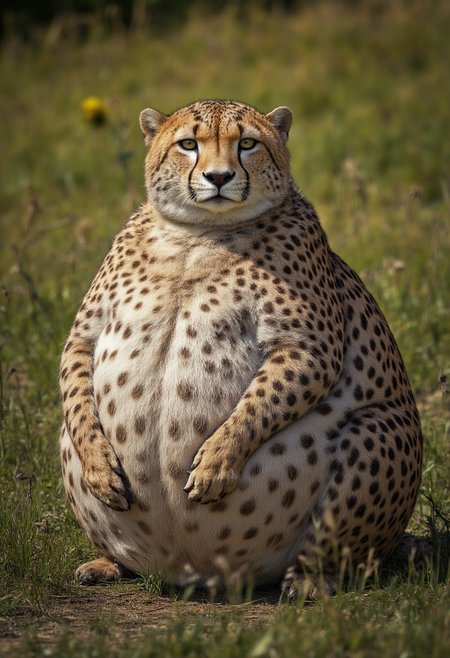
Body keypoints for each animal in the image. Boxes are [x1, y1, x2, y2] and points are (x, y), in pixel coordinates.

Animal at [59, 99, 428, 599]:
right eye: (188, 143)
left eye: (247, 143)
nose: (218, 177)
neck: (198, 236)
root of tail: (192, 573)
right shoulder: (85, 333)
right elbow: (77, 389)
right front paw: (99, 466)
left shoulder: (308, 347)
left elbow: (257, 406)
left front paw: (216, 462)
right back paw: (107, 564)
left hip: (379, 427)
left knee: (343, 553)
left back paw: (312, 581)